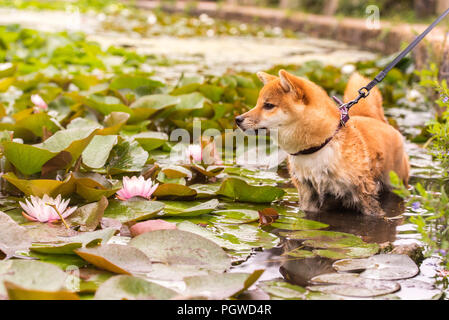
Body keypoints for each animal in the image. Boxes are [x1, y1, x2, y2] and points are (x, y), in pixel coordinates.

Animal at [234, 69, 410, 215]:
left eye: (268, 105)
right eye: (257, 103)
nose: (237, 119)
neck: (318, 147)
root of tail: (375, 119)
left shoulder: (363, 192)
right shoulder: (307, 193)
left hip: (395, 182)